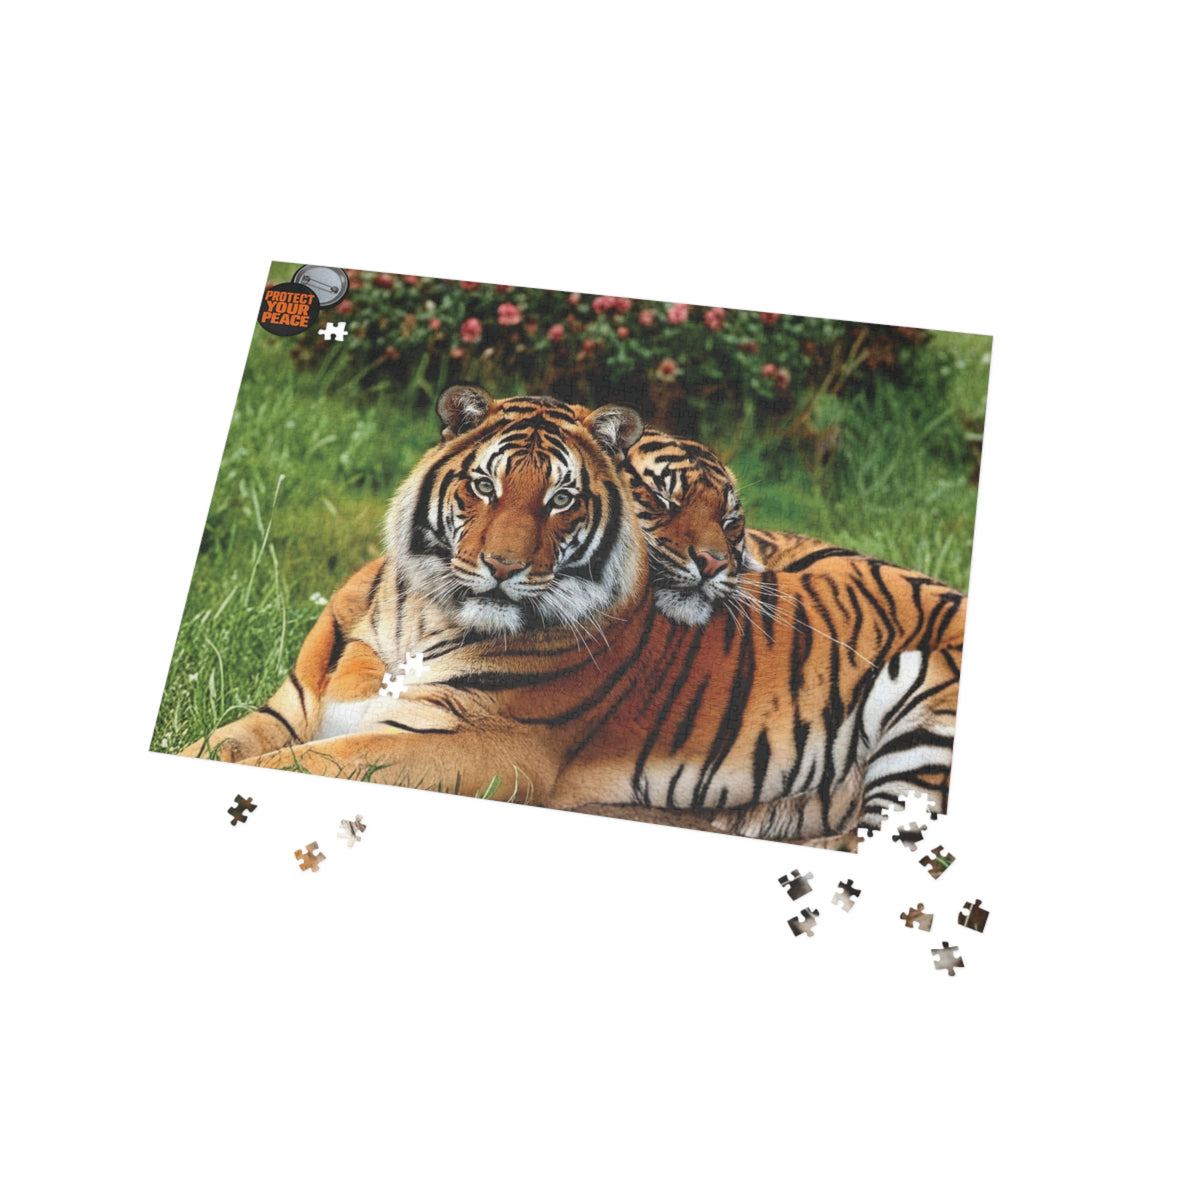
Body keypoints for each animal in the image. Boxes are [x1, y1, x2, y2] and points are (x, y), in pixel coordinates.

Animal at [181, 385, 966, 845]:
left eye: (561, 499)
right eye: (485, 485)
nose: (502, 567)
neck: (421, 615)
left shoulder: (467, 743)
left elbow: (311, 765)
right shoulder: (287, 709)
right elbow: (220, 746)